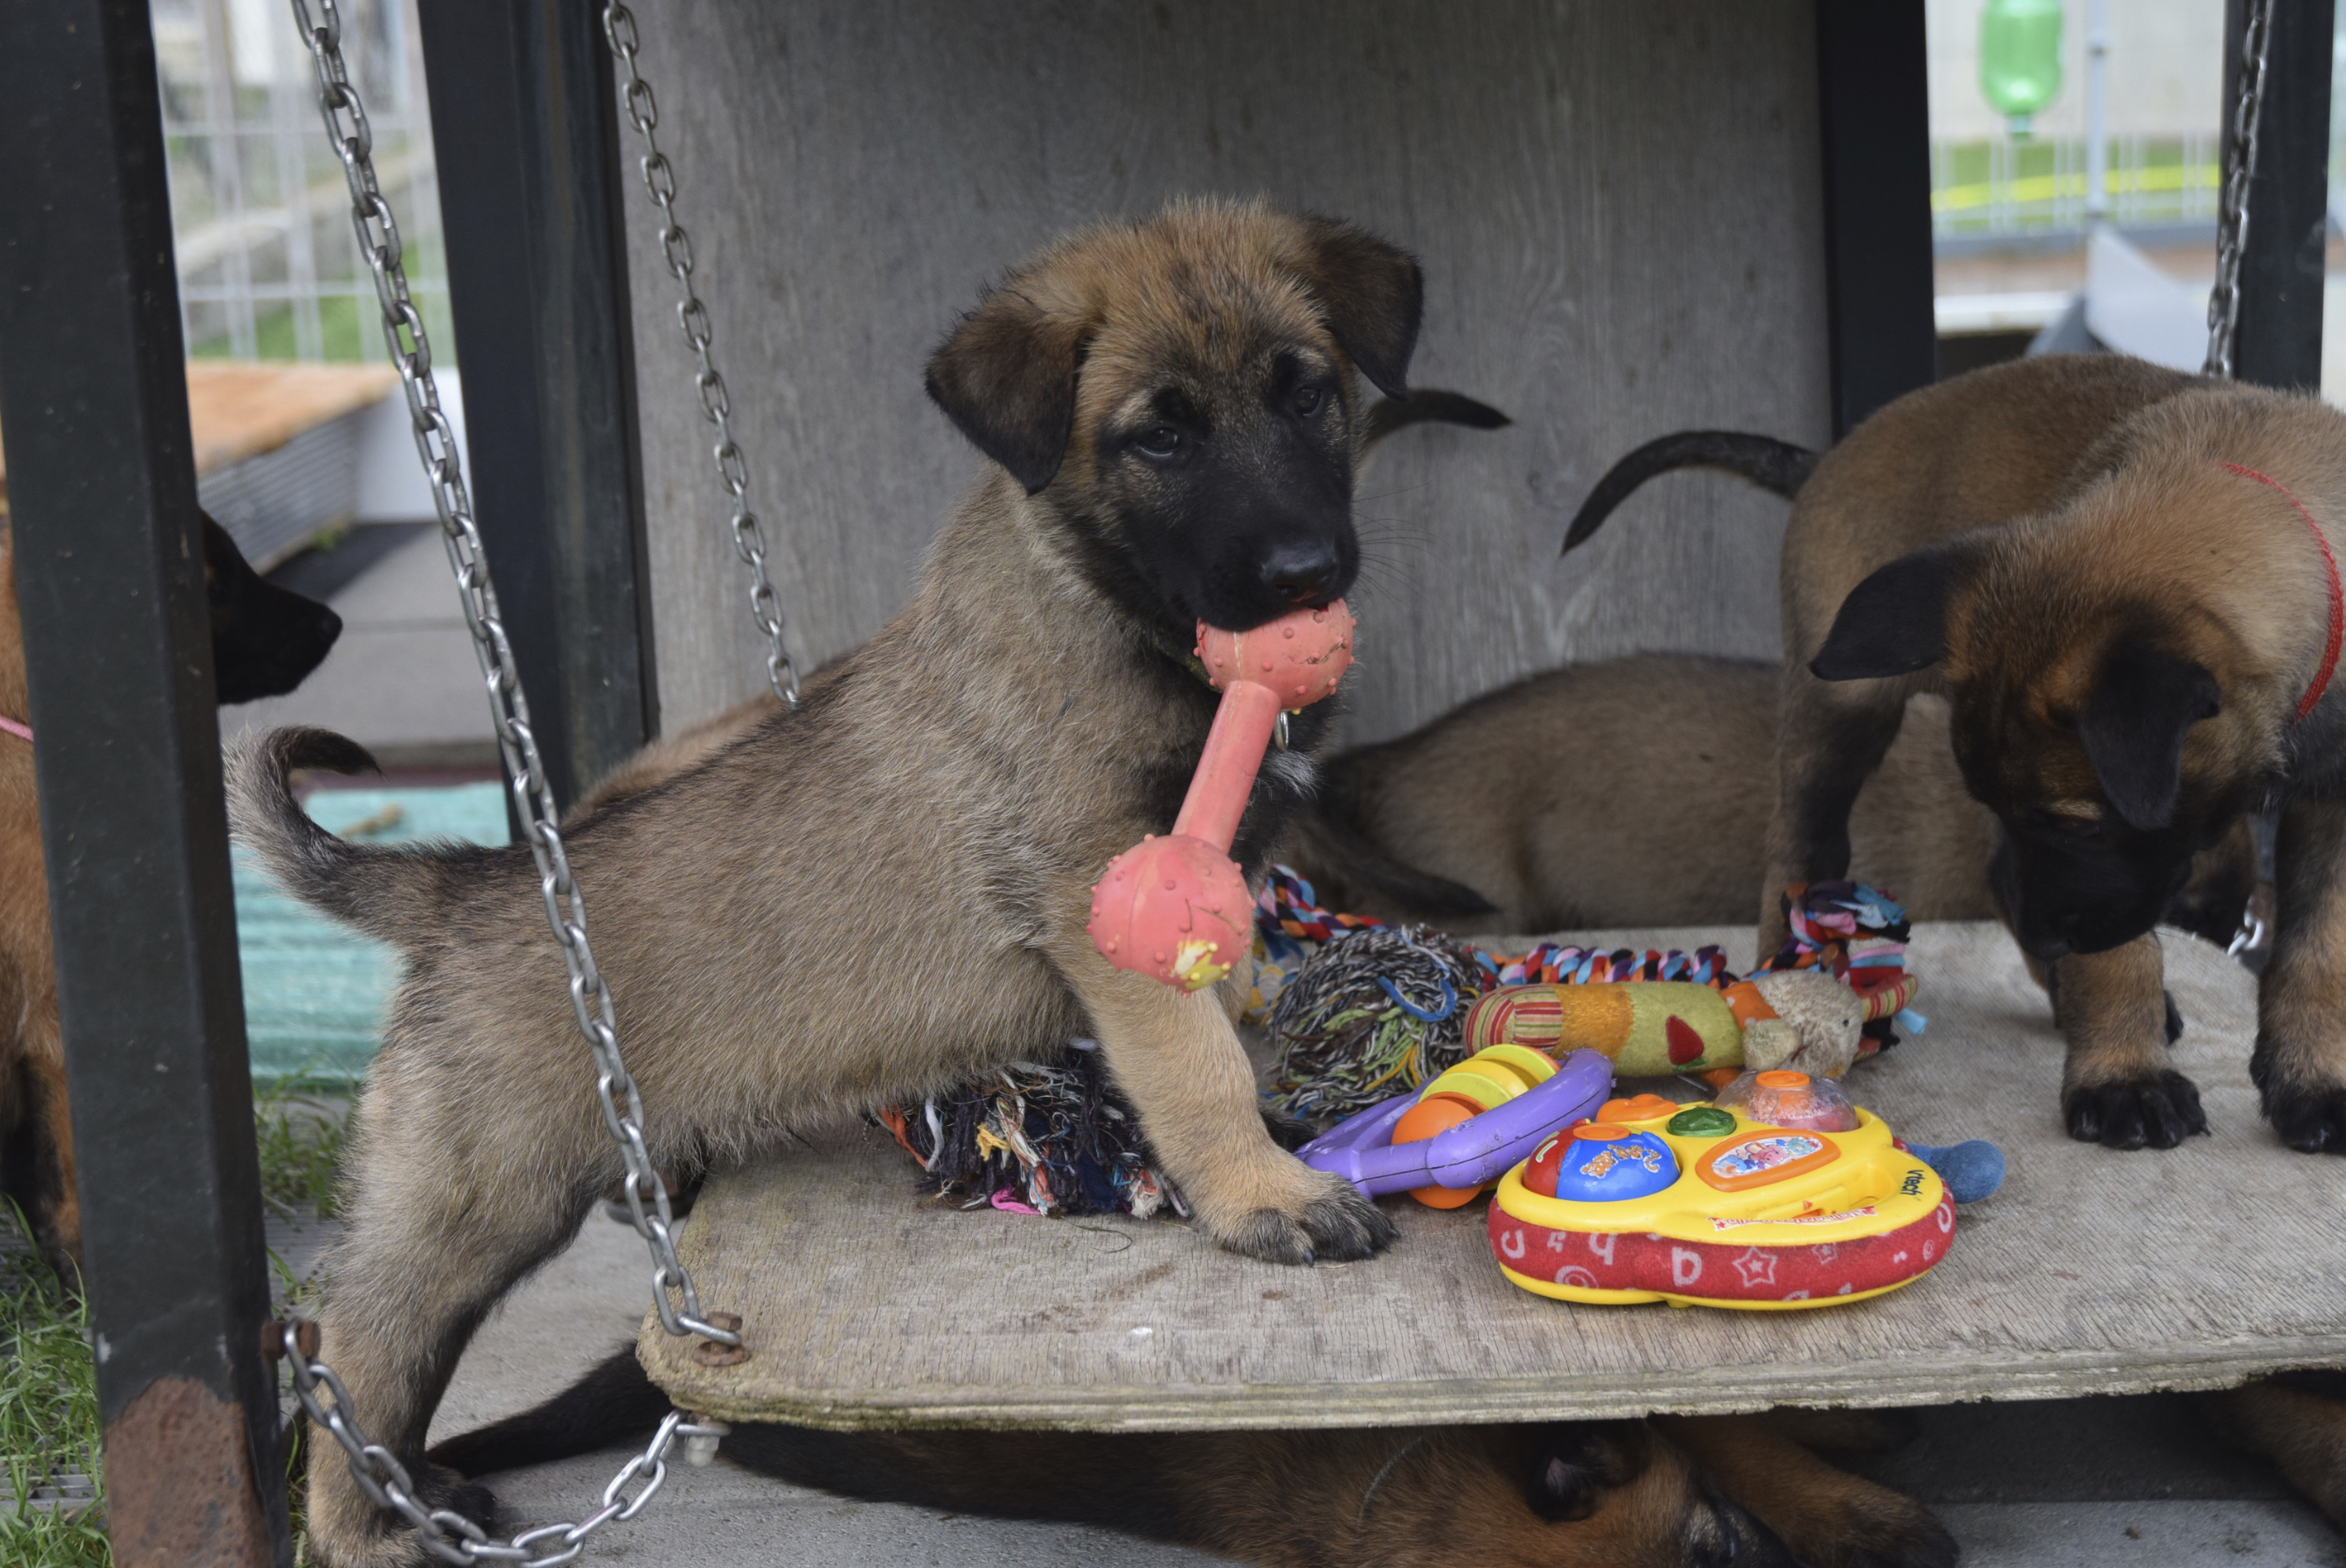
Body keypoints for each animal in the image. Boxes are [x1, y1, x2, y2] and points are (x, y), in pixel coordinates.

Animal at [223, 202, 1464, 1558]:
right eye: (1162, 435)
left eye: (1308, 395)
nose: (1304, 571)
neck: (1107, 603)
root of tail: (464, 886)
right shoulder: (1107, 899)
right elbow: (1195, 1070)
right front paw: (1261, 1195)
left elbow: (1229, 1026)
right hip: (480, 1184)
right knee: (359, 1339)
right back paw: (368, 1524)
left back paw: (424, 1488)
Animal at [1567, 354, 2346, 1149]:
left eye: (2074, 824)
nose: (2050, 939)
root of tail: (1831, 455)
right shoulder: (2107, 871)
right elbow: (2122, 950)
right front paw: (2126, 1077)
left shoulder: (2327, 803)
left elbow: (2321, 948)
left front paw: (2314, 1078)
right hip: (1839, 712)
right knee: (1802, 847)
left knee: (1995, 872)